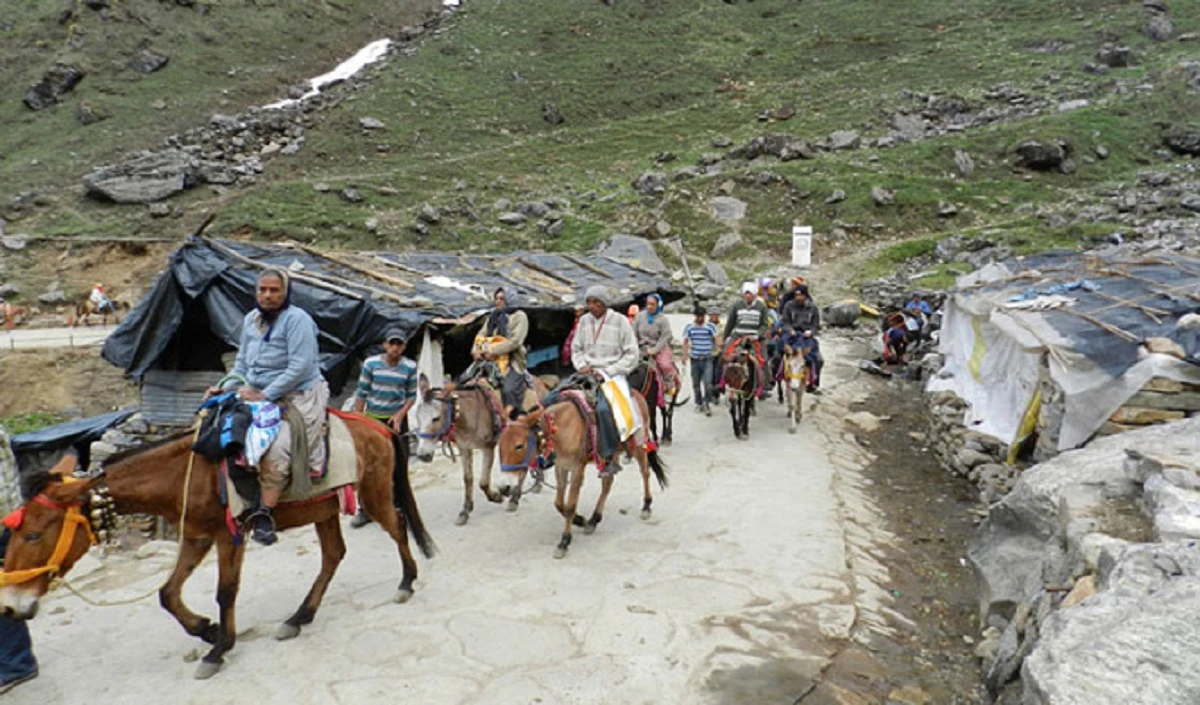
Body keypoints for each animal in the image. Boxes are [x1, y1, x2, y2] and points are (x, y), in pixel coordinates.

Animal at [0, 412, 432, 676]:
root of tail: (376, 426)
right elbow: (168, 593)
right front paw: (206, 630)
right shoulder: (195, 536)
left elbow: (226, 592)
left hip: (373, 494)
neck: (181, 475)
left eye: (33, 534)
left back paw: (406, 582)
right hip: (324, 509)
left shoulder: (229, 536)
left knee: (397, 527)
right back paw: (298, 618)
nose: (11, 605)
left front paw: (219, 647)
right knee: (333, 555)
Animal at [410, 374, 547, 522]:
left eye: (436, 418)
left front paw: (496, 497)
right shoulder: (464, 448)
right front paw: (465, 510)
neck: (468, 414)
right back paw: (533, 486)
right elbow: (468, 478)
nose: (423, 455)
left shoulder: (488, 448)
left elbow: (483, 482)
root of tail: (538, 380)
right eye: (417, 417)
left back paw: (516, 497)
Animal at [494, 388, 667, 558]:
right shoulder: (561, 466)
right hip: (612, 454)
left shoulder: (577, 468)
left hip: (638, 445)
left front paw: (564, 541)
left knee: (645, 472)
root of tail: (637, 393)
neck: (560, 428)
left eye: (519, 445)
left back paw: (646, 506)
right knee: (608, 482)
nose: (504, 488)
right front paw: (580, 520)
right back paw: (593, 520)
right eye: (499, 445)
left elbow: (570, 505)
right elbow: (559, 504)